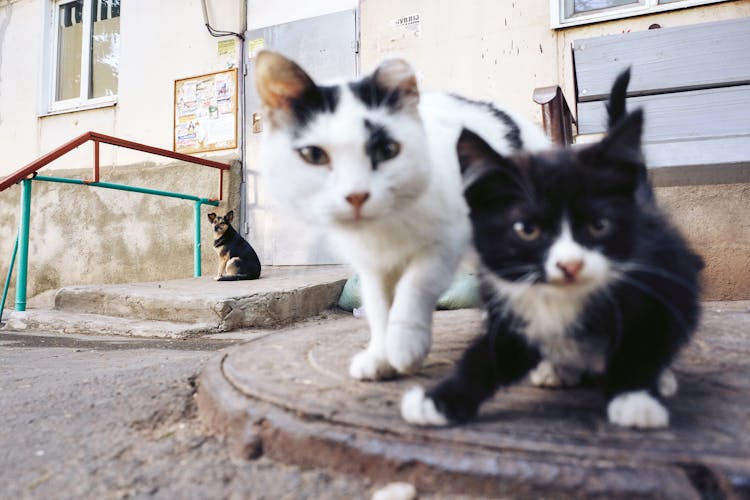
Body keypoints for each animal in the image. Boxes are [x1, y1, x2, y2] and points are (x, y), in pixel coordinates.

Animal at [256, 50, 548, 378]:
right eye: (314, 155)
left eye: (387, 150)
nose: (356, 195)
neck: (384, 227)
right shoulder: (371, 265)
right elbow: (378, 305)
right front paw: (381, 358)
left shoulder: (445, 242)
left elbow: (414, 285)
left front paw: (404, 346)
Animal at [406, 70, 704, 430]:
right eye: (527, 229)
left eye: (599, 225)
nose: (570, 265)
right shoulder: (510, 306)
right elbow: (489, 355)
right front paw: (438, 400)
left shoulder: (658, 282)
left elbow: (642, 341)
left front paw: (635, 398)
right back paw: (556, 369)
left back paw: (661, 378)